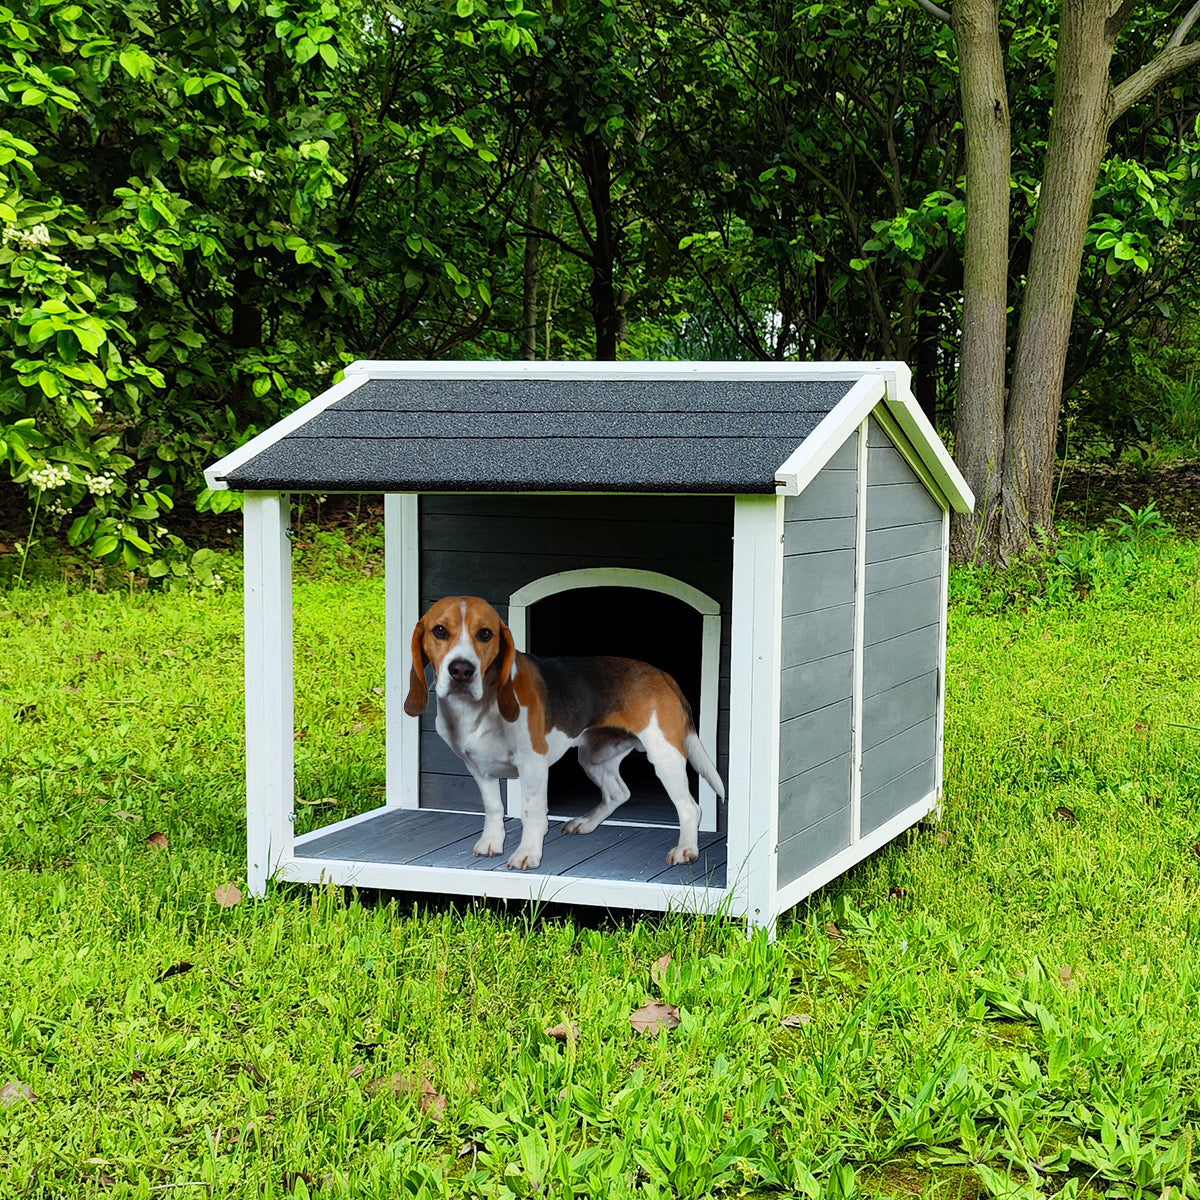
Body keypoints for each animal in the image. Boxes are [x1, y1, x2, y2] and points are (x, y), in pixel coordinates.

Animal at [403, 595, 724, 868]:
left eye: (485, 634)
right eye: (440, 630)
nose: (461, 670)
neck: (478, 707)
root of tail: (663, 675)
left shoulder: (533, 764)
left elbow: (531, 811)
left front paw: (527, 853)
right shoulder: (477, 767)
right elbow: (493, 806)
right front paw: (492, 842)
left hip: (664, 755)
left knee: (689, 807)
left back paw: (686, 849)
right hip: (593, 757)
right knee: (618, 793)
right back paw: (586, 822)